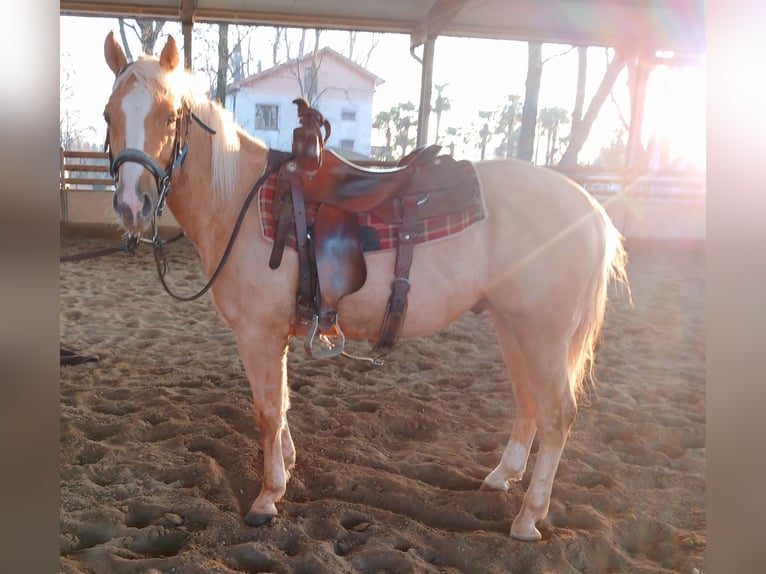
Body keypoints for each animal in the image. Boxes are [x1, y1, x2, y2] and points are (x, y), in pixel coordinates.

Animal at [101, 32, 628, 542]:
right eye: (109, 115)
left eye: (170, 116)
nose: (133, 203)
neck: (240, 202)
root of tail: (592, 209)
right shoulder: (275, 336)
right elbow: (282, 404)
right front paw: (287, 467)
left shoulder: (258, 334)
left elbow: (267, 411)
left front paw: (268, 496)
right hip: (512, 326)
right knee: (529, 400)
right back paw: (502, 477)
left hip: (542, 334)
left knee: (557, 413)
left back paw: (527, 518)